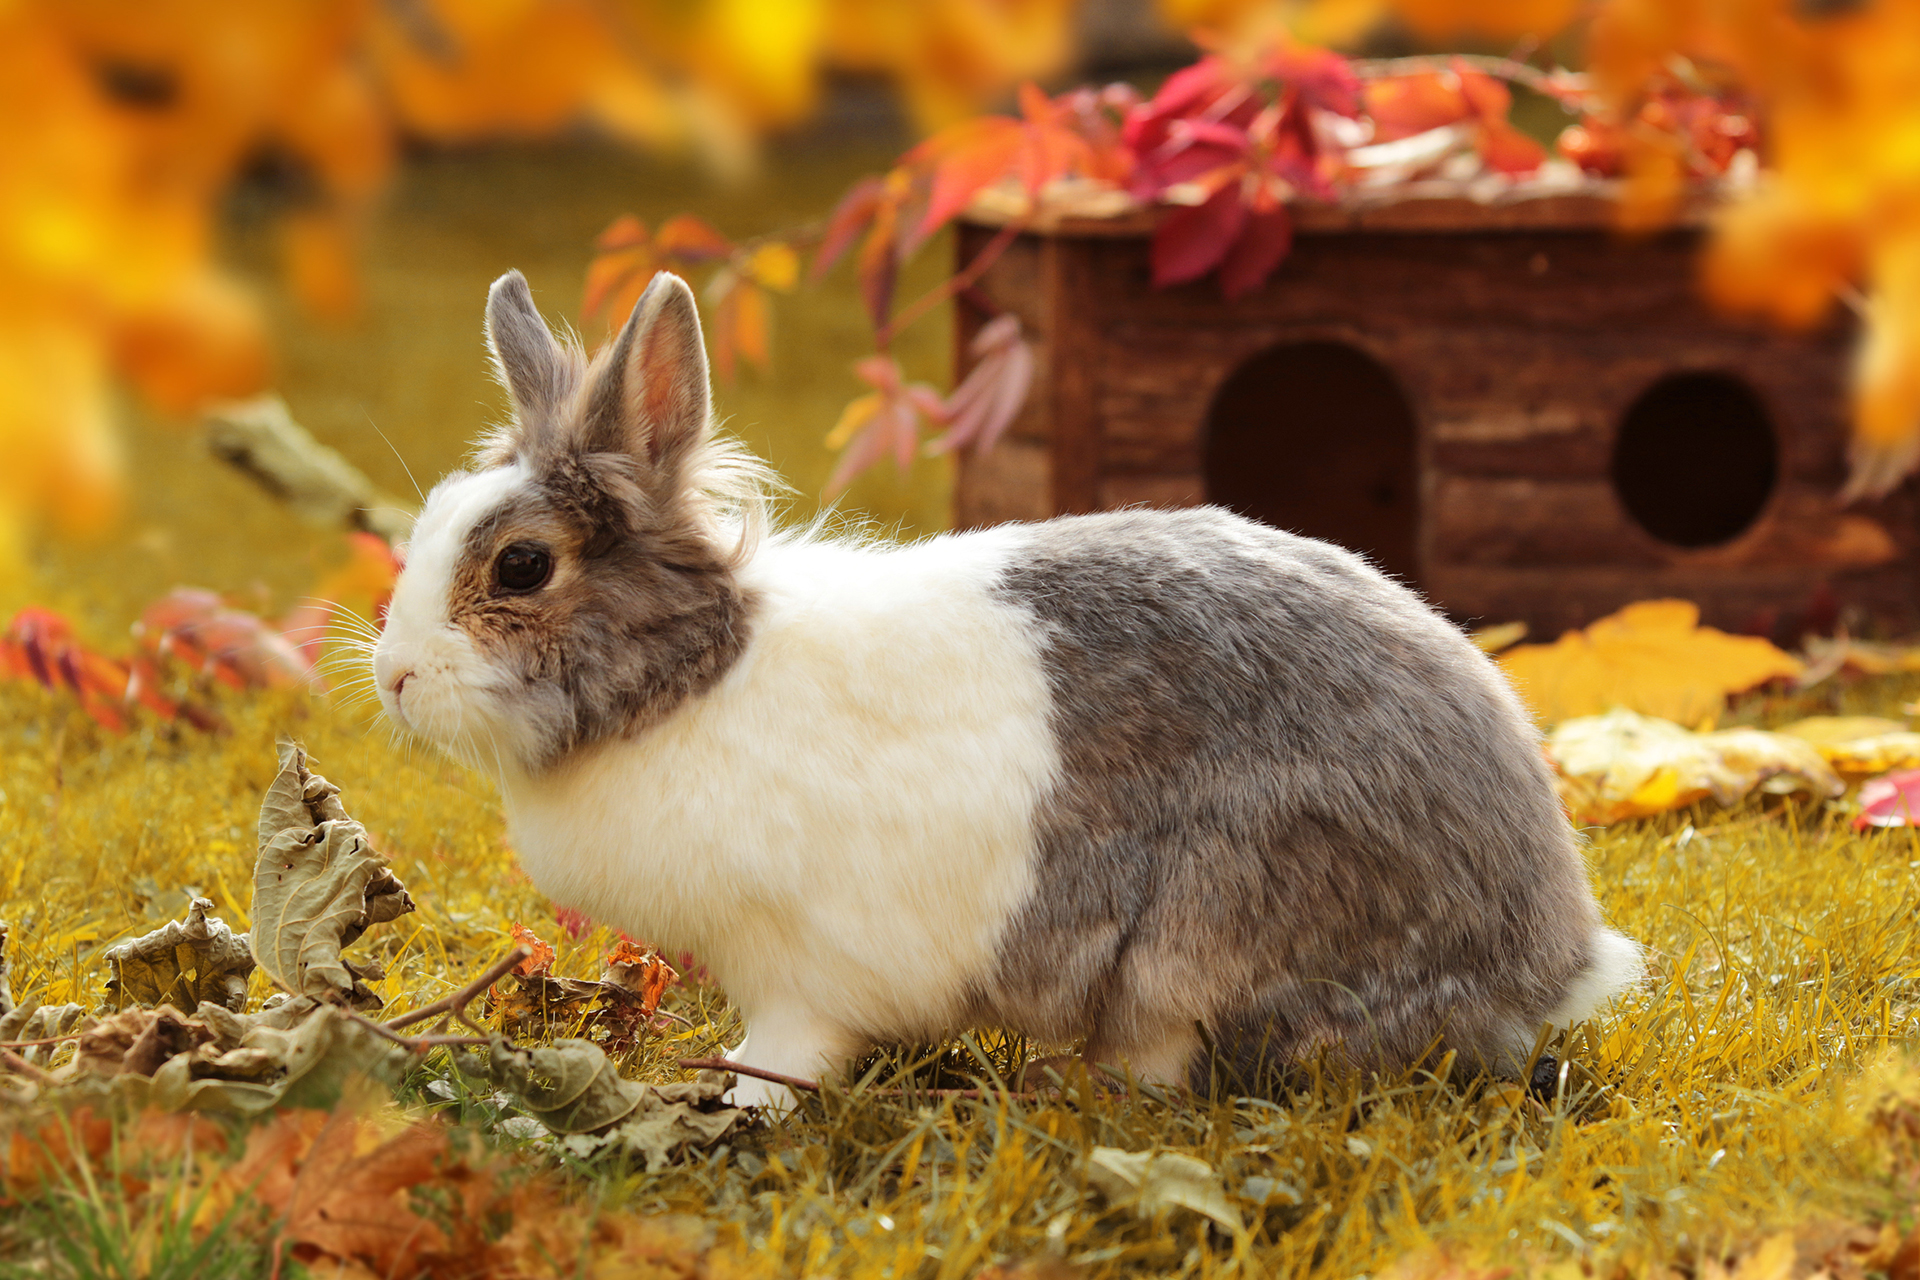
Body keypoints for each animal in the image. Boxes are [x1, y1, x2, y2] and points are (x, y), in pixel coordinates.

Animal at [378, 268, 1651, 1113]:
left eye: (522, 565)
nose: (390, 675)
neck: (690, 678)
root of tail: (1553, 948)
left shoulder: (798, 966)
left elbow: (784, 1048)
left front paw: (739, 1107)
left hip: (1197, 940)